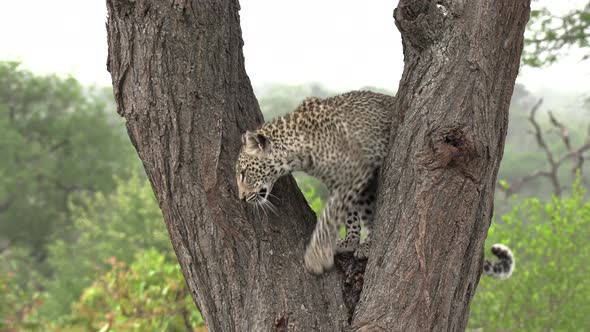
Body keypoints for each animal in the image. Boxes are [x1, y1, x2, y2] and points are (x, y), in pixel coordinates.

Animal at [238, 89, 516, 278]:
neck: (298, 149)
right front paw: (350, 242)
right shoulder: (348, 181)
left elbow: (331, 216)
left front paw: (319, 256)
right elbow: (351, 214)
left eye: (242, 173)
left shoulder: (356, 173)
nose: (241, 198)